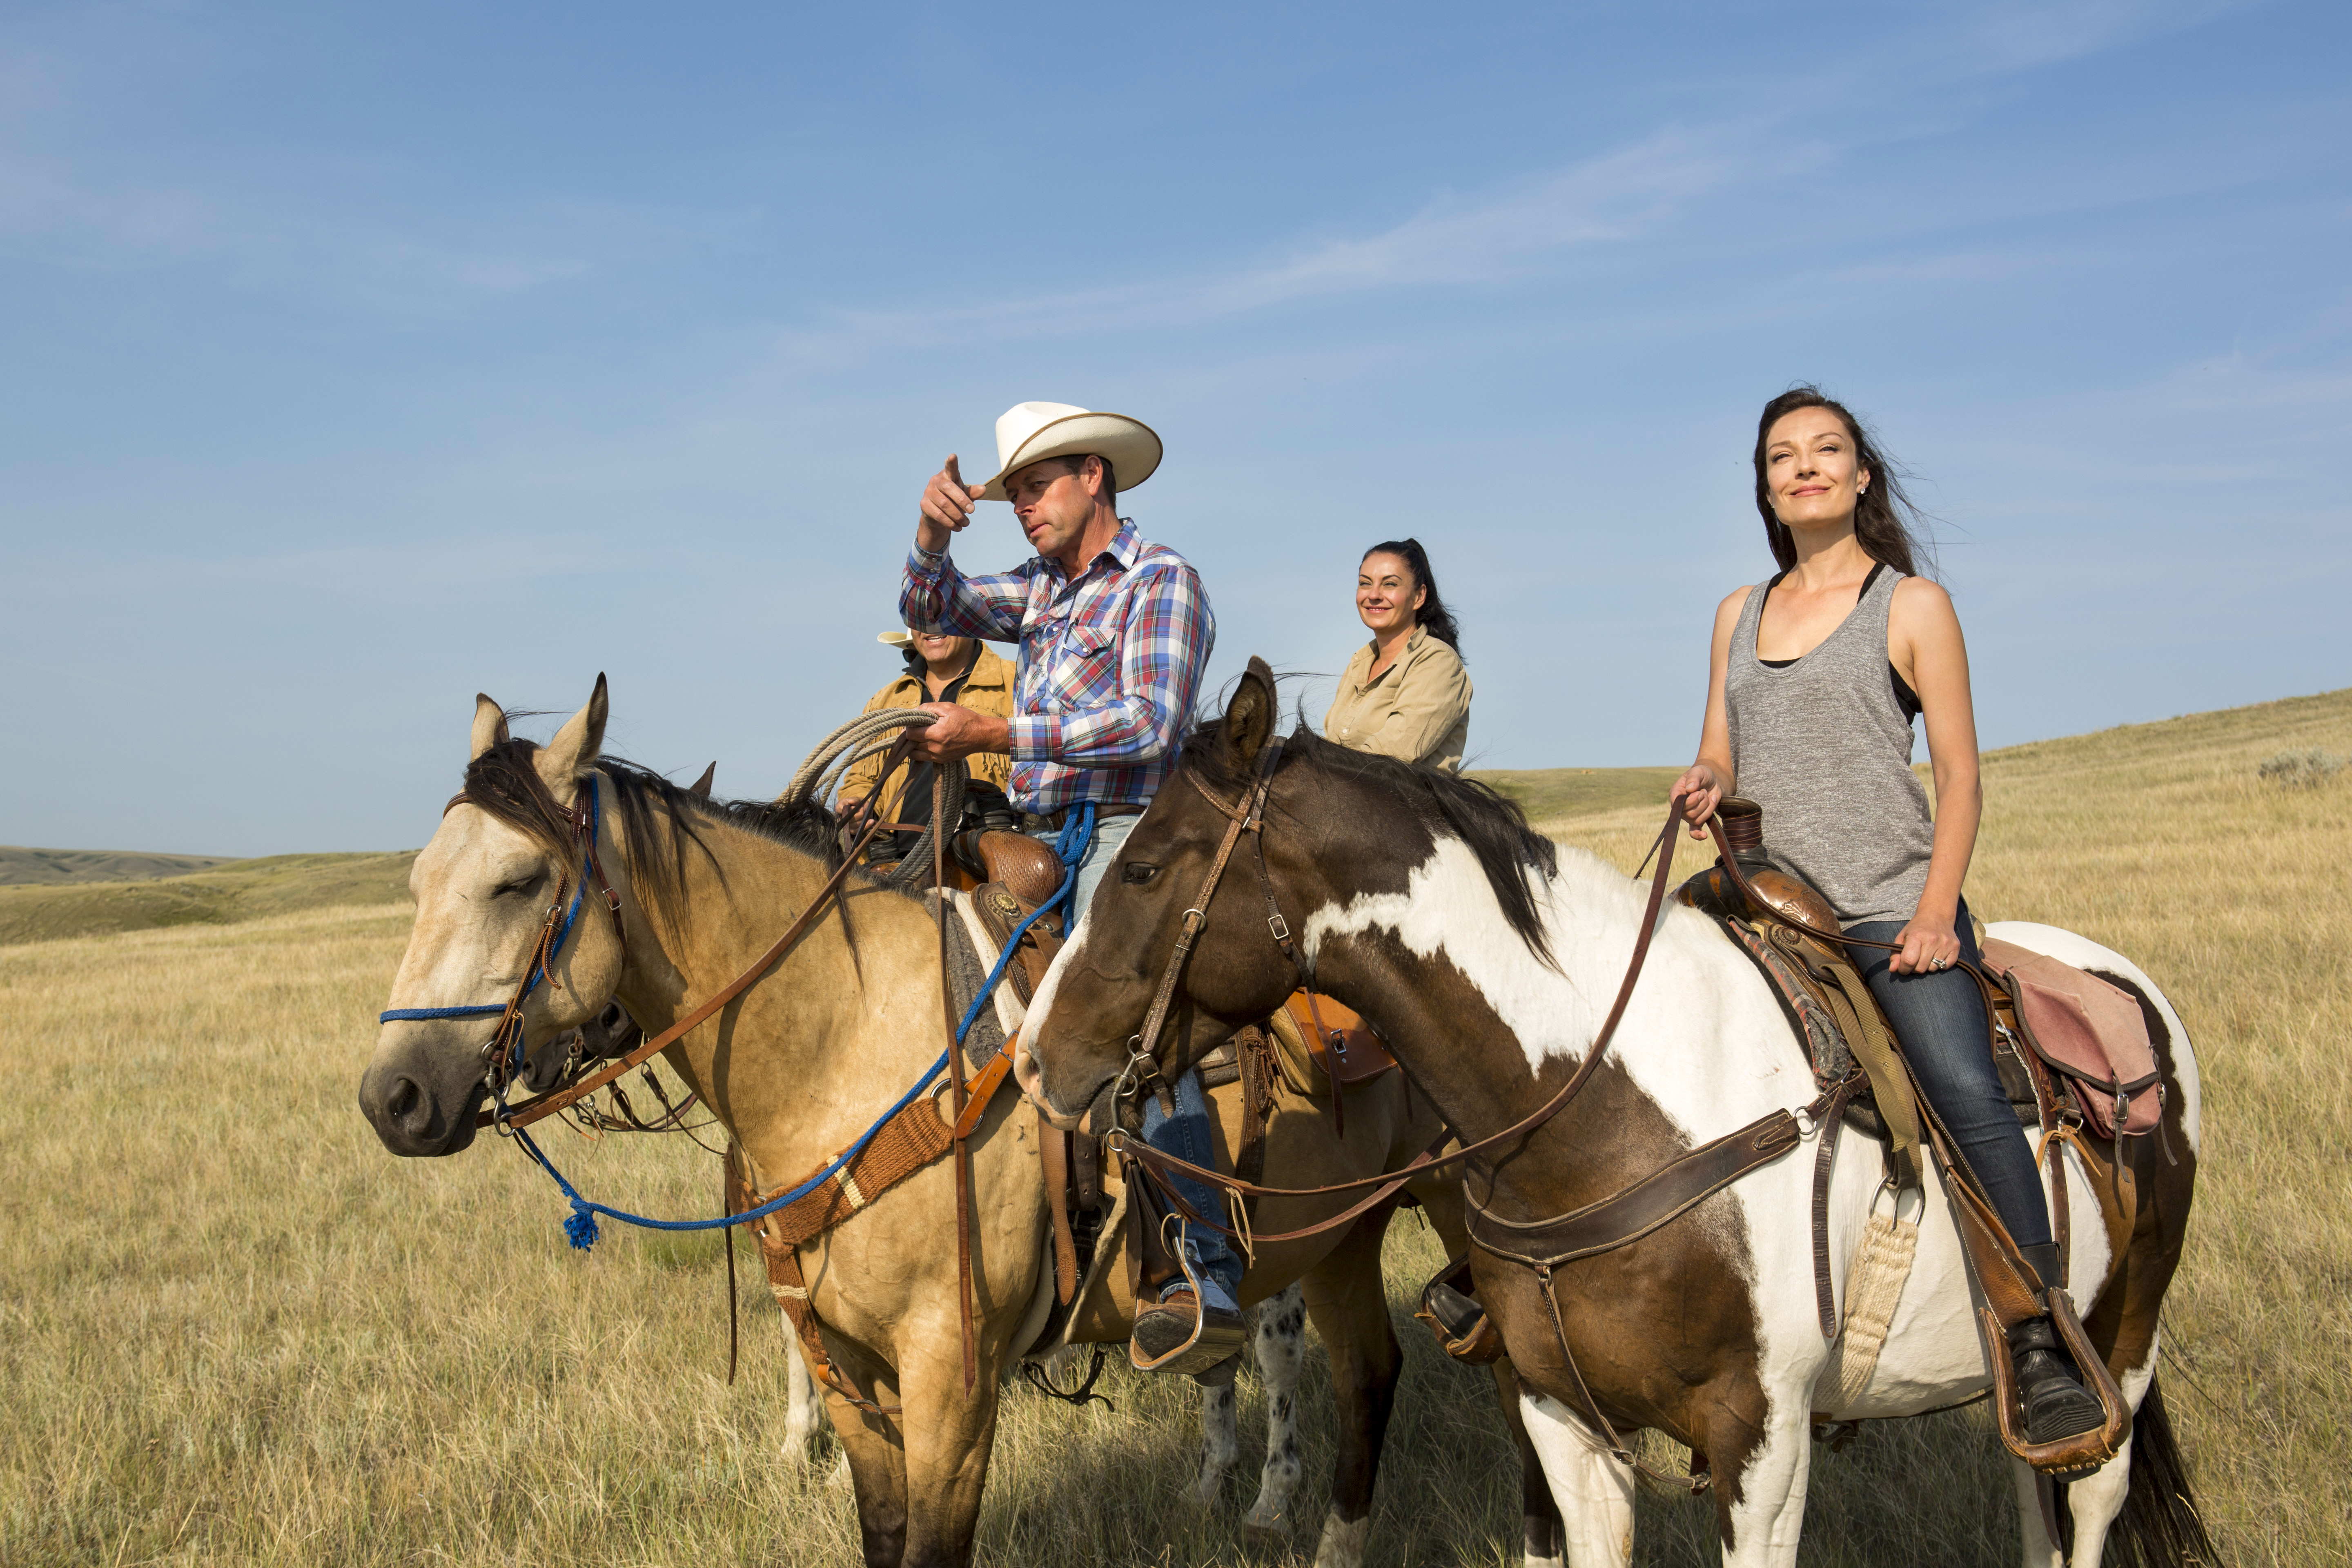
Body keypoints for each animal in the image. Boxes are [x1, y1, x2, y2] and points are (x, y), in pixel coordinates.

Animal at [350, 677, 1524, 1568]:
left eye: (517, 882)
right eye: (417, 881)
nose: (392, 1097)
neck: (846, 1045)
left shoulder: (950, 1382)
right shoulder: (852, 1371)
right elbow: (879, 1531)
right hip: (1340, 1235)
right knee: (1368, 1376)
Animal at [1020, 663, 2211, 1568]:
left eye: (1145, 865)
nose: (1037, 1057)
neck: (1601, 1111)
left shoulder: (1762, 1442)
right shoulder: (1566, 1419)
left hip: (2123, 1337)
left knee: (2087, 1495)